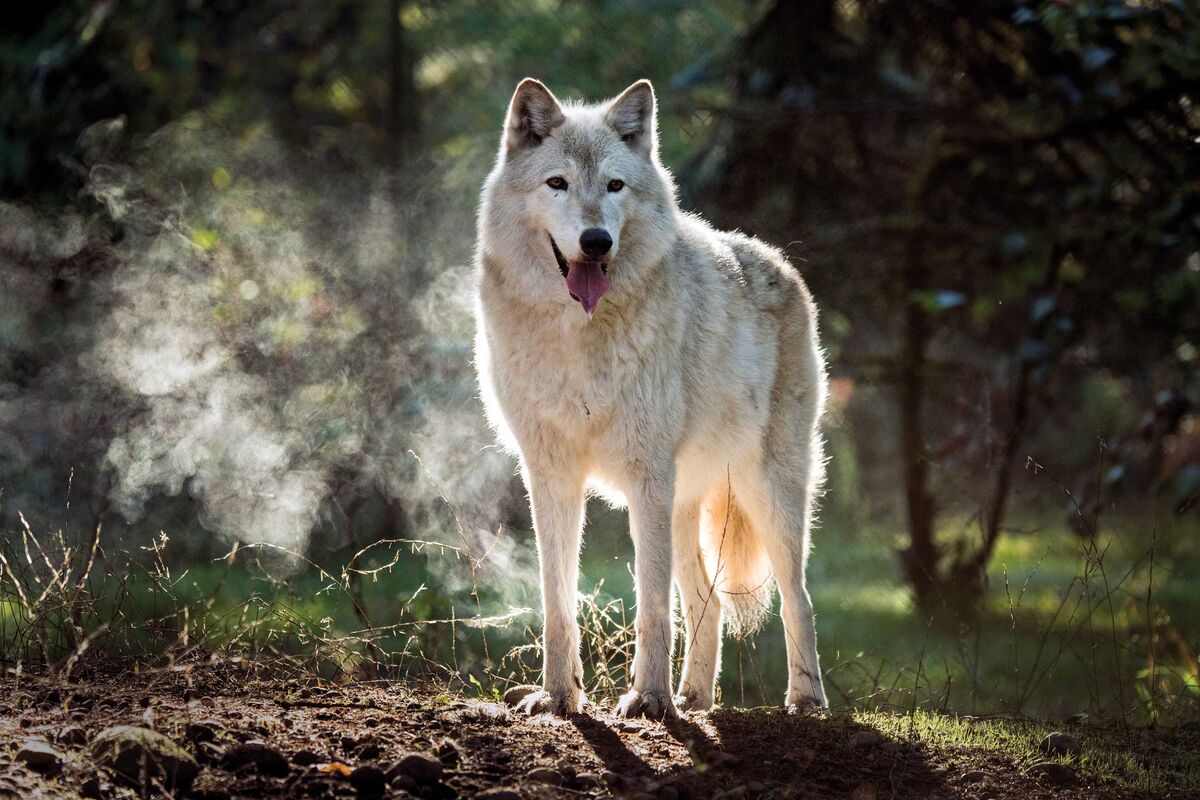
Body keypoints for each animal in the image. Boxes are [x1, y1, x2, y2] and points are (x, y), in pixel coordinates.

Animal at [472, 79, 830, 719]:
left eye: (616, 185)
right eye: (557, 183)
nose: (596, 241)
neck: (579, 339)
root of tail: (784, 264)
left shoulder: (647, 476)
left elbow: (652, 605)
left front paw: (648, 699)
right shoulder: (550, 474)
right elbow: (558, 602)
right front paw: (558, 696)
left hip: (768, 492)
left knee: (799, 599)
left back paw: (803, 700)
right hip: (687, 501)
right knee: (709, 602)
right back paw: (695, 698)